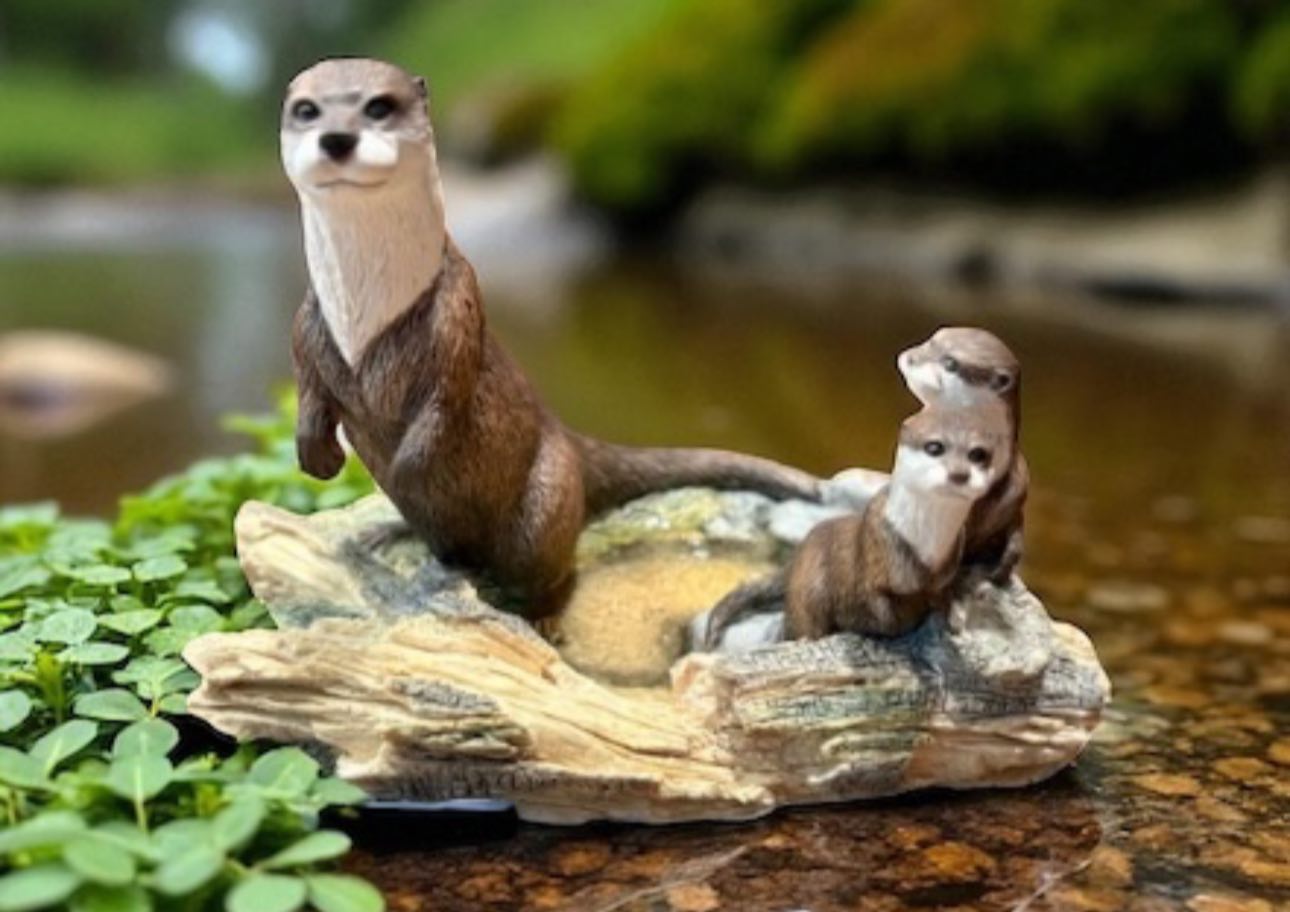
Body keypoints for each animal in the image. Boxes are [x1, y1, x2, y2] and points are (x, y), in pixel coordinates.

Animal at [282, 58, 820, 618]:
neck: (363, 315)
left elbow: (444, 402)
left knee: (547, 568)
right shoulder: (307, 326)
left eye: (379, 107)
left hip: (545, 498)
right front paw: (318, 456)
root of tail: (569, 438)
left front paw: (407, 471)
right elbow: (310, 389)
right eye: (306, 110)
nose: (337, 137)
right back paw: (394, 532)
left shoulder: (456, 314)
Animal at [703, 407, 1004, 648]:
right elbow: (880, 609)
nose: (960, 473)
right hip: (807, 596)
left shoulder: (947, 566)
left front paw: (955, 619)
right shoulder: (875, 552)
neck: (925, 546)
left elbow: (944, 596)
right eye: (934, 446)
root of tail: (795, 558)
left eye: (978, 454)